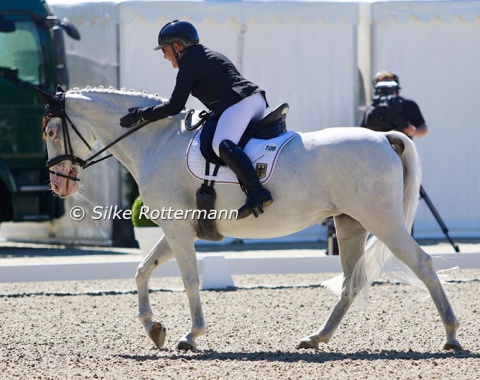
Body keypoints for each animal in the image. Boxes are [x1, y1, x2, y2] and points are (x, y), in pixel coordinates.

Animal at [39, 86, 460, 350]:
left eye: (51, 130)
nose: (58, 184)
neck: (157, 141)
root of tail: (383, 136)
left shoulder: (177, 230)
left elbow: (189, 279)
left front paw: (191, 336)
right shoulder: (177, 227)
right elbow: (142, 270)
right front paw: (154, 328)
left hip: (381, 221)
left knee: (423, 264)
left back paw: (452, 336)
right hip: (350, 224)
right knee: (351, 283)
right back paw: (316, 338)